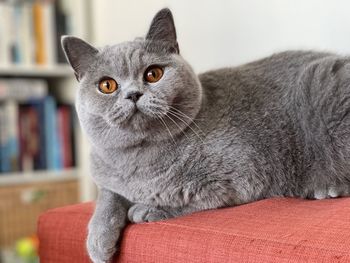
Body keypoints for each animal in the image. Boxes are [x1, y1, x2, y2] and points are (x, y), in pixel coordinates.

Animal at [61, 8, 350, 263]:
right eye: (107, 85)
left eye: (153, 74)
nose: (133, 94)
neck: (140, 161)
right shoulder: (106, 176)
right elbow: (106, 197)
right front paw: (98, 241)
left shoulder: (241, 178)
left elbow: (187, 198)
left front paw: (147, 209)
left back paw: (327, 188)